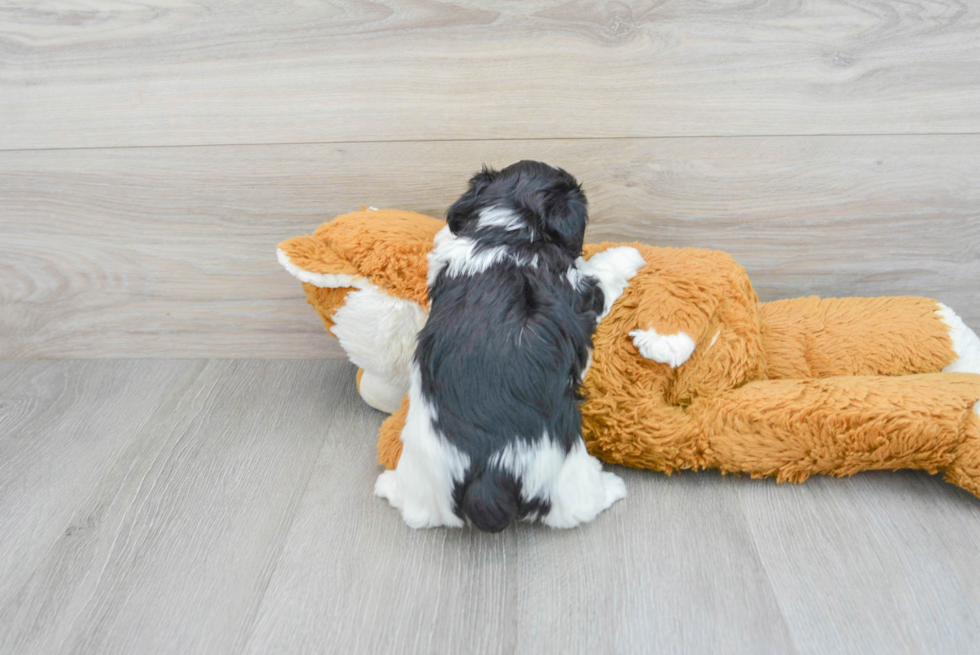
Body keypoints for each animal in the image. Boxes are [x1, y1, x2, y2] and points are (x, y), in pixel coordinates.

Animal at [376, 163, 628, 532]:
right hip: (566, 477)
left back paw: (387, 485)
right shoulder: (579, 290)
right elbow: (601, 274)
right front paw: (627, 255)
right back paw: (612, 487)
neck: (510, 230)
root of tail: (488, 478)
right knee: (579, 507)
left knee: (416, 509)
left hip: (423, 479)